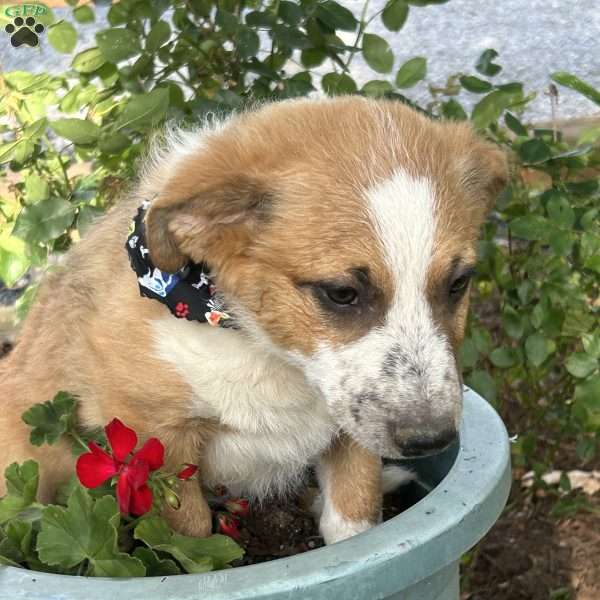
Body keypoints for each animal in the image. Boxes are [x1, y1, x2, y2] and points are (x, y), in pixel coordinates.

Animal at [0, 97, 506, 544]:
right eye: (341, 293)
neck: (263, 348)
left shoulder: (352, 426)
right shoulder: (157, 441)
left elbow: (355, 518)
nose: (432, 440)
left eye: (459, 283)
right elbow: (191, 539)